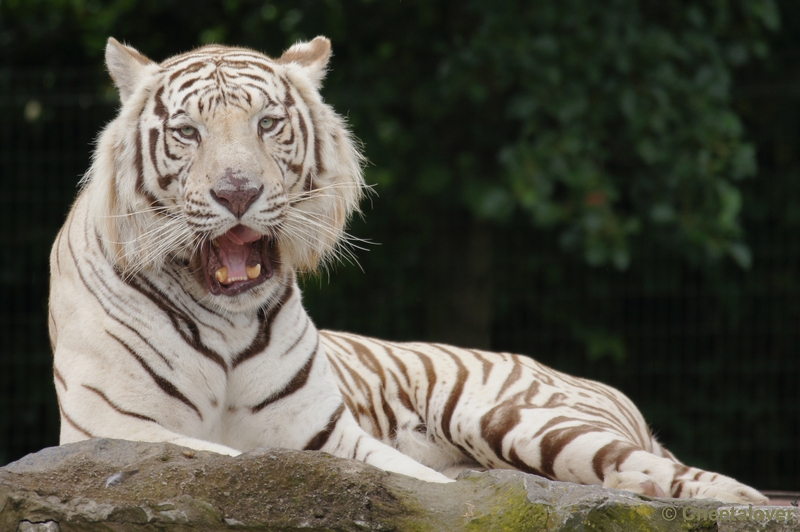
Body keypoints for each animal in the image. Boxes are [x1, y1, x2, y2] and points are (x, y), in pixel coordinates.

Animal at [47, 37, 764, 502]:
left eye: (268, 123)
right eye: (187, 133)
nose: (237, 192)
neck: (227, 323)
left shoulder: (326, 438)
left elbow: (422, 483)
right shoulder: (115, 429)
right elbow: (219, 455)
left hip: (524, 419)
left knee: (704, 480)